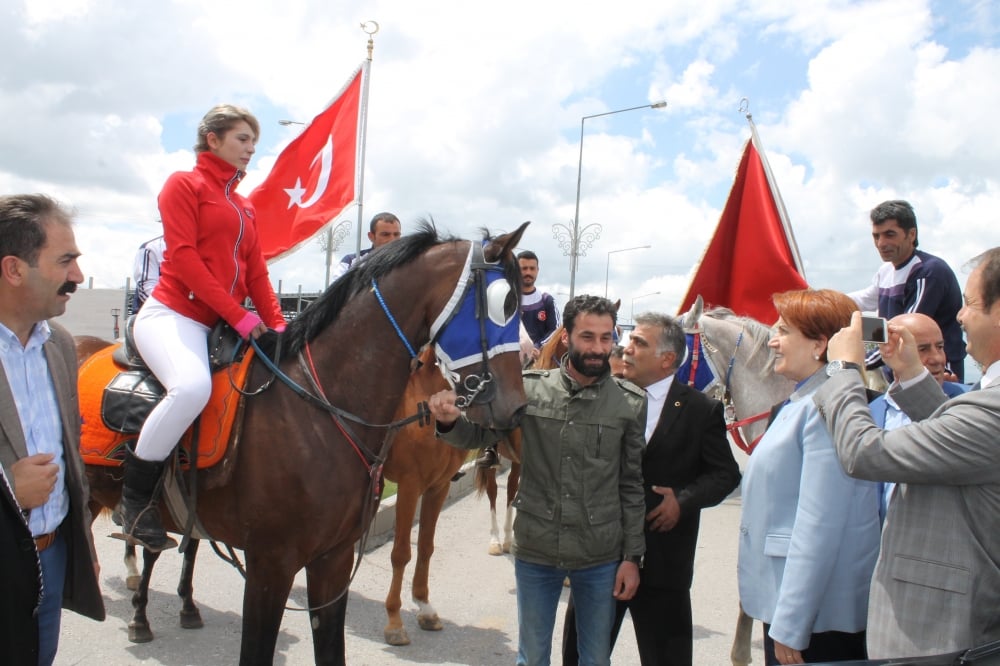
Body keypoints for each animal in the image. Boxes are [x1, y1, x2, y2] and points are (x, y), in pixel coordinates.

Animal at [79, 223, 532, 664]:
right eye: (505, 304)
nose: (516, 410)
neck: (317, 406)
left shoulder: (336, 557)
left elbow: (416, 554)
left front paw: (422, 608)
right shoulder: (271, 565)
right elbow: (402, 551)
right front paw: (398, 621)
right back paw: (138, 610)